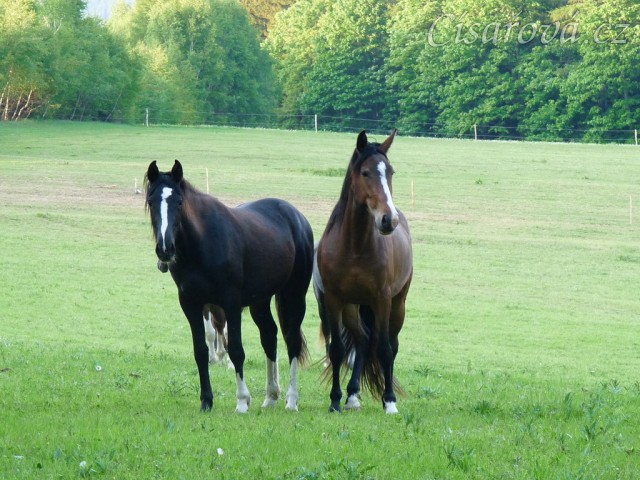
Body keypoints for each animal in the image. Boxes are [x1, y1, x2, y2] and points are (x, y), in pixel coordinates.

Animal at [145, 160, 314, 412]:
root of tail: (297, 217)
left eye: (179, 202)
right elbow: (201, 351)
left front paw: (242, 400)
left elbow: (236, 350)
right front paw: (206, 400)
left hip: (294, 294)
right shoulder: (191, 305)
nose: (165, 249)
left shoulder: (231, 304)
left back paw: (291, 400)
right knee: (269, 337)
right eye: (151, 201)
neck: (202, 243)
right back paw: (271, 396)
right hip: (260, 301)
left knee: (292, 341)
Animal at [314, 129, 413, 414]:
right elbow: (337, 350)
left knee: (390, 345)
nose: (388, 220)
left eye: (390, 171)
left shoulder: (382, 299)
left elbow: (385, 350)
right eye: (366, 172)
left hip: (397, 304)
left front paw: (389, 401)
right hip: (352, 307)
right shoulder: (334, 300)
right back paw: (352, 396)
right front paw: (335, 400)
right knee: (362, 339)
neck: (355, 246)